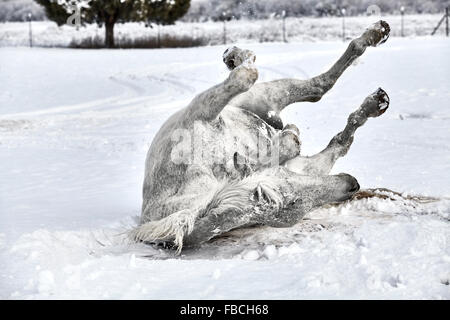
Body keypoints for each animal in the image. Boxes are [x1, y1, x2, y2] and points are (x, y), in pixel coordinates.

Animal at [130, 21, 390, 254]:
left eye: (284, 181)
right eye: (294, 205)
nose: (352, 185)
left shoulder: (201, 111)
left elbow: (245, 76)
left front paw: (286, 135)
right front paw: (287, 136)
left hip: (261, 94)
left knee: (315, 86)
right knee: (333, 121)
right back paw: (375, 100)